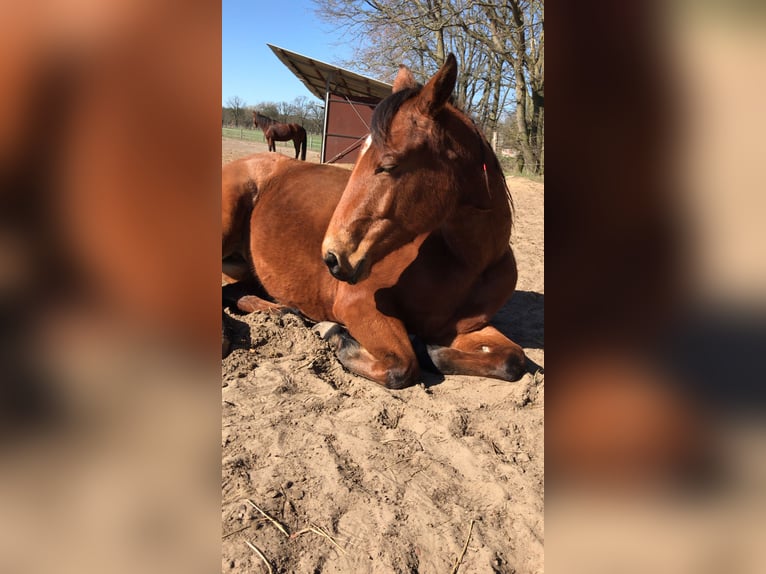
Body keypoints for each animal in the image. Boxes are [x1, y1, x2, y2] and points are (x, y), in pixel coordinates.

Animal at [224, 54, 528, 389]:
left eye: (389, 165)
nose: (332, 257)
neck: (469, 263)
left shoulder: (464, 327)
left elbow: (513, 359)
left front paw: (430, 350)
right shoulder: (359, 303)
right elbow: (402, 365)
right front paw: (336, 335)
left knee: (234, 294)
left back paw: (282, 311)